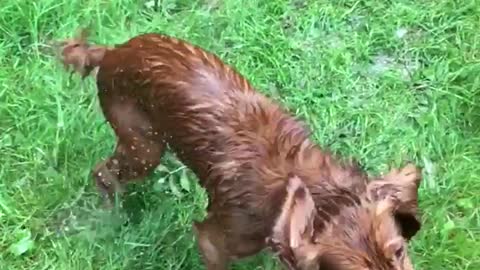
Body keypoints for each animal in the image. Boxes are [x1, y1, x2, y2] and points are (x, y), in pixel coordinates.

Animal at [57, 30, 424, 270]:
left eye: (398, 252)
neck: (307, 186)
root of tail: (112, 52)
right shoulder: (216, 240)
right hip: (144, 147)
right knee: (103, 173)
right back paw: (112, 210)